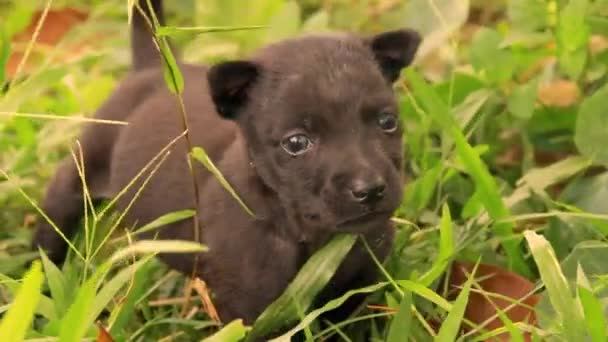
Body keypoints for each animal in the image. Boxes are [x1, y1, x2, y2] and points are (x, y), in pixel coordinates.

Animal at [33, 0, 420, 326]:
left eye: (387, 122)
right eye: (296, 143)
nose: (369, 190)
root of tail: (151, 68)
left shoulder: (359, 296)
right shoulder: (247, 313)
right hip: (81, 173)